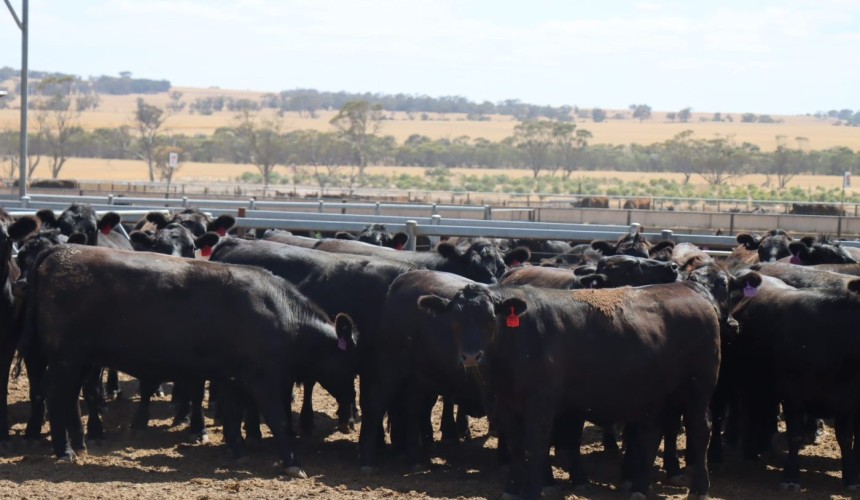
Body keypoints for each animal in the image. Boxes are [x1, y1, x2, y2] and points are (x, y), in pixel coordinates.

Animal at [20, 244, 358, 478]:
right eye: (352, 364)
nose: (352, 411)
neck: (282, 314)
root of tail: (60, 250)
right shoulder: (263, 379)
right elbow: (278, 419)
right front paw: (292, 463)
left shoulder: (230, 377)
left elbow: (233, 417)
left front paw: (238, 450)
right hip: (66, 357)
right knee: (56, 395)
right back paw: (65, 450)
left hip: (81, 359)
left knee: (69, 398)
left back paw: (79, 444)